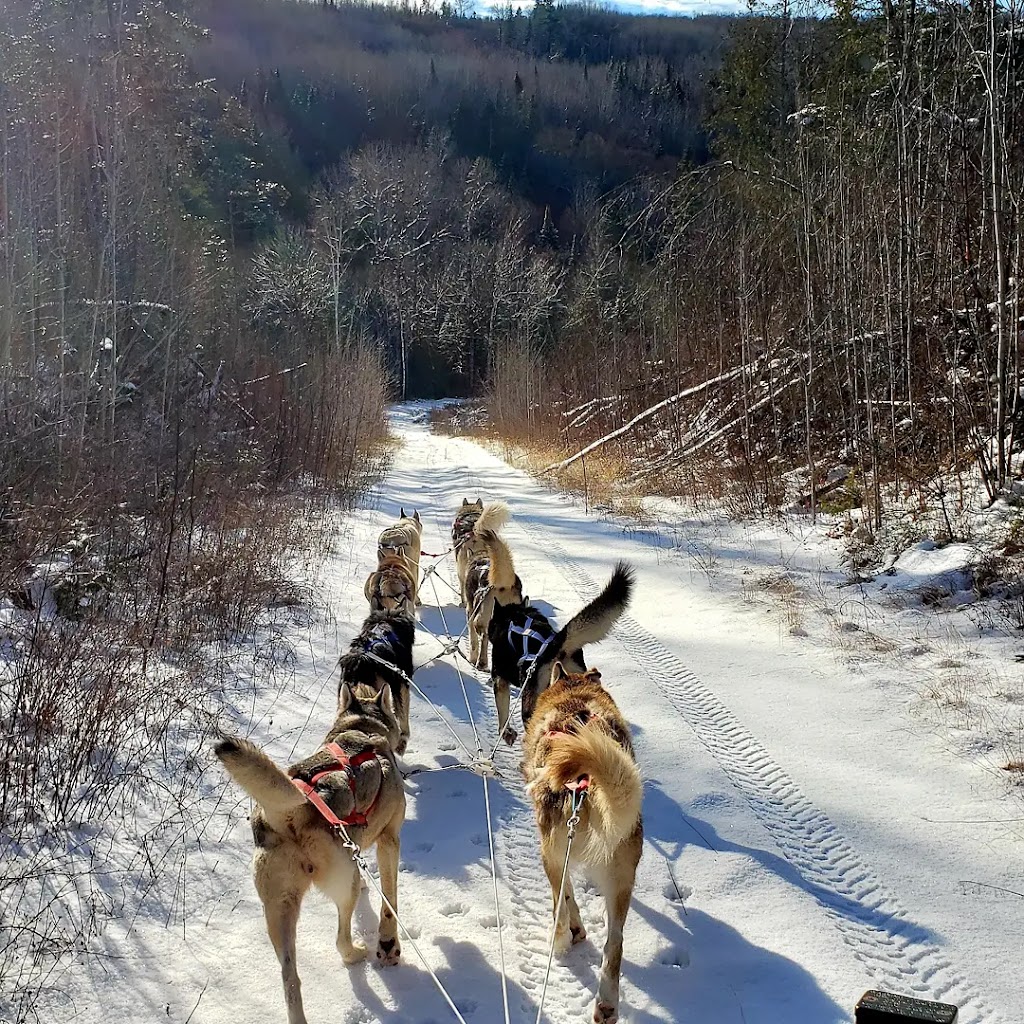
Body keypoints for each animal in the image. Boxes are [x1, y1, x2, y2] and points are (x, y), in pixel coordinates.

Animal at [216, 679, 407, 1024]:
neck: (362, 729)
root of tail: (296, 810)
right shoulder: (390, 840)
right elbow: (389, 902)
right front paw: (389, 945)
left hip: (278, 910)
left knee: (289, 977)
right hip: (341, 886)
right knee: (340, 940)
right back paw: (356, 954)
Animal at [487, 561, 630, 745]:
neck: (514, 616)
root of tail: (555, 645)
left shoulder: (500, 679)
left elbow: (502, 713)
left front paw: (506, 733)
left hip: (530, 706)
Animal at [524, 663, 643, 1024]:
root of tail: (584, 786)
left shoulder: (555, 853)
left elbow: (568, 896)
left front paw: (573, 930)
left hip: (551, 852)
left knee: (561, 906)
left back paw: (561, 939)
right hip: (621, 878)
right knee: (615, 943)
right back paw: (606, 1005)